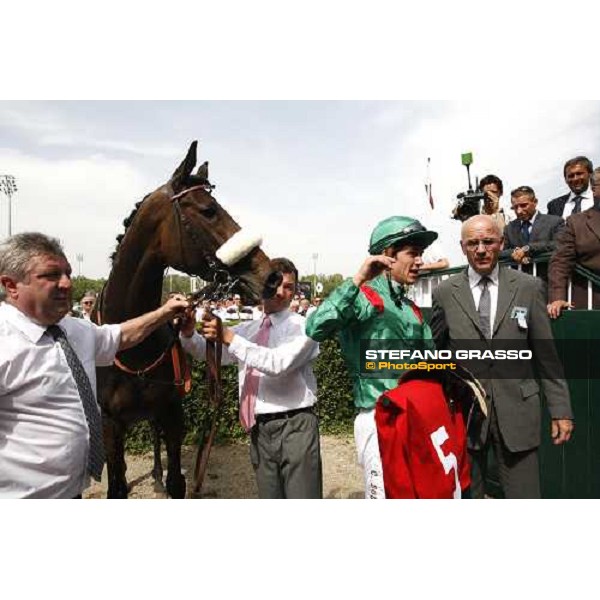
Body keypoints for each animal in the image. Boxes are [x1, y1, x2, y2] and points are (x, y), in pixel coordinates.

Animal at [95, 141, 270, 496]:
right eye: (208, 210)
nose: (268, 273)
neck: (131, 346)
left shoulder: (172, 413)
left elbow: (177, 481)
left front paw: (165, 478)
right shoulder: (110, 424)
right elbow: (116, 482)